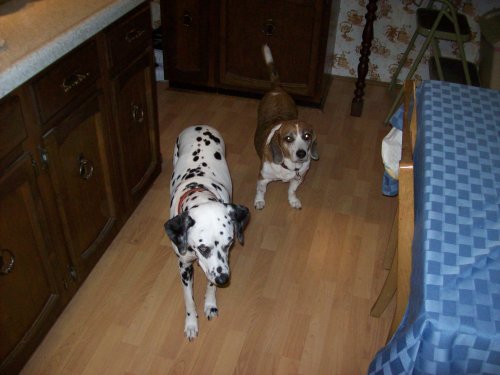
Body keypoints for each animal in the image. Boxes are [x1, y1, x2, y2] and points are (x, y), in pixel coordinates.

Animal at [164, 125, 250, 340]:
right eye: (203, 248)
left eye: (229, 243)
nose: (224, 279)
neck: (198, 191)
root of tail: (199, 126)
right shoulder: (184, 266)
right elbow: (188, 299)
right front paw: (191, 323)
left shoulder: (220, 263)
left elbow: (211, 285)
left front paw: (210, 304)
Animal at [254, 44, 320, 212]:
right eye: (288, 138)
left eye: (307, 136)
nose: (302, 153)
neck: (289, 166)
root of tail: (277, 89)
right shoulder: (263, 178)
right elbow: (260, 191)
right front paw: (259, 201)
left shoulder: (299, 178)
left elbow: (291, 190)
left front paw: (293, 200)